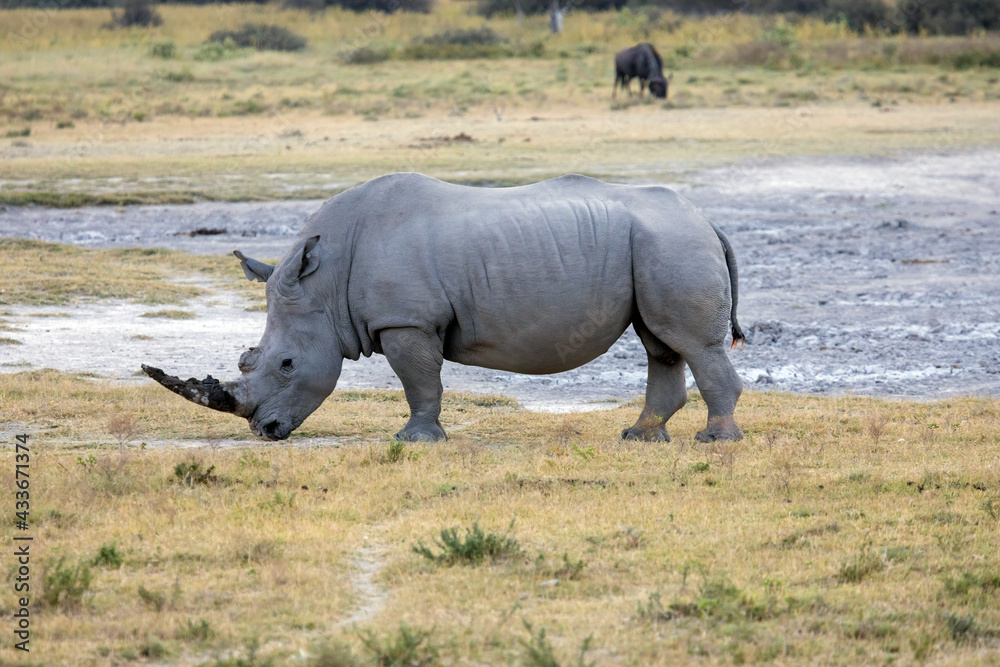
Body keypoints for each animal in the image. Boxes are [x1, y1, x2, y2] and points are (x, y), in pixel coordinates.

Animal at [143, 173, 746, 443]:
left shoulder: (406, 320)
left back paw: (714, 441)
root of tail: (706, 220)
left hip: (671, 243)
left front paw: (414, 441)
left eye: (287, 364)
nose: (265, 431)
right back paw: (639, 438)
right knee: (659, 342)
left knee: (689, 343)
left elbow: (420, 381)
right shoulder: (405, 318)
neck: (326, 285)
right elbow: (423, 381)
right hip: (657, 245)